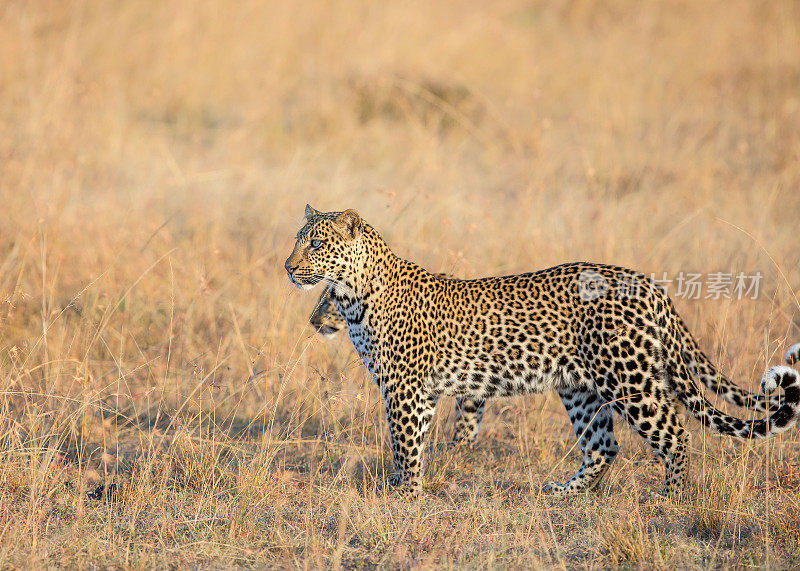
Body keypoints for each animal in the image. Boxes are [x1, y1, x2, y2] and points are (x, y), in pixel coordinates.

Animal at [286, 207, 800, 500]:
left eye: (316, 243)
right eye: (297, 239)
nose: (288, 267)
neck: (357, 295)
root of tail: (648, 284)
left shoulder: (407, 391)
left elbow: (406, 447)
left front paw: (402, 498)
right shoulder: (435, 392)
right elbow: (439, 438)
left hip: (629, 378)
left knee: (675, 435)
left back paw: (670, 500)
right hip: (581, 388)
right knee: (603, 447)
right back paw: (565, 494)